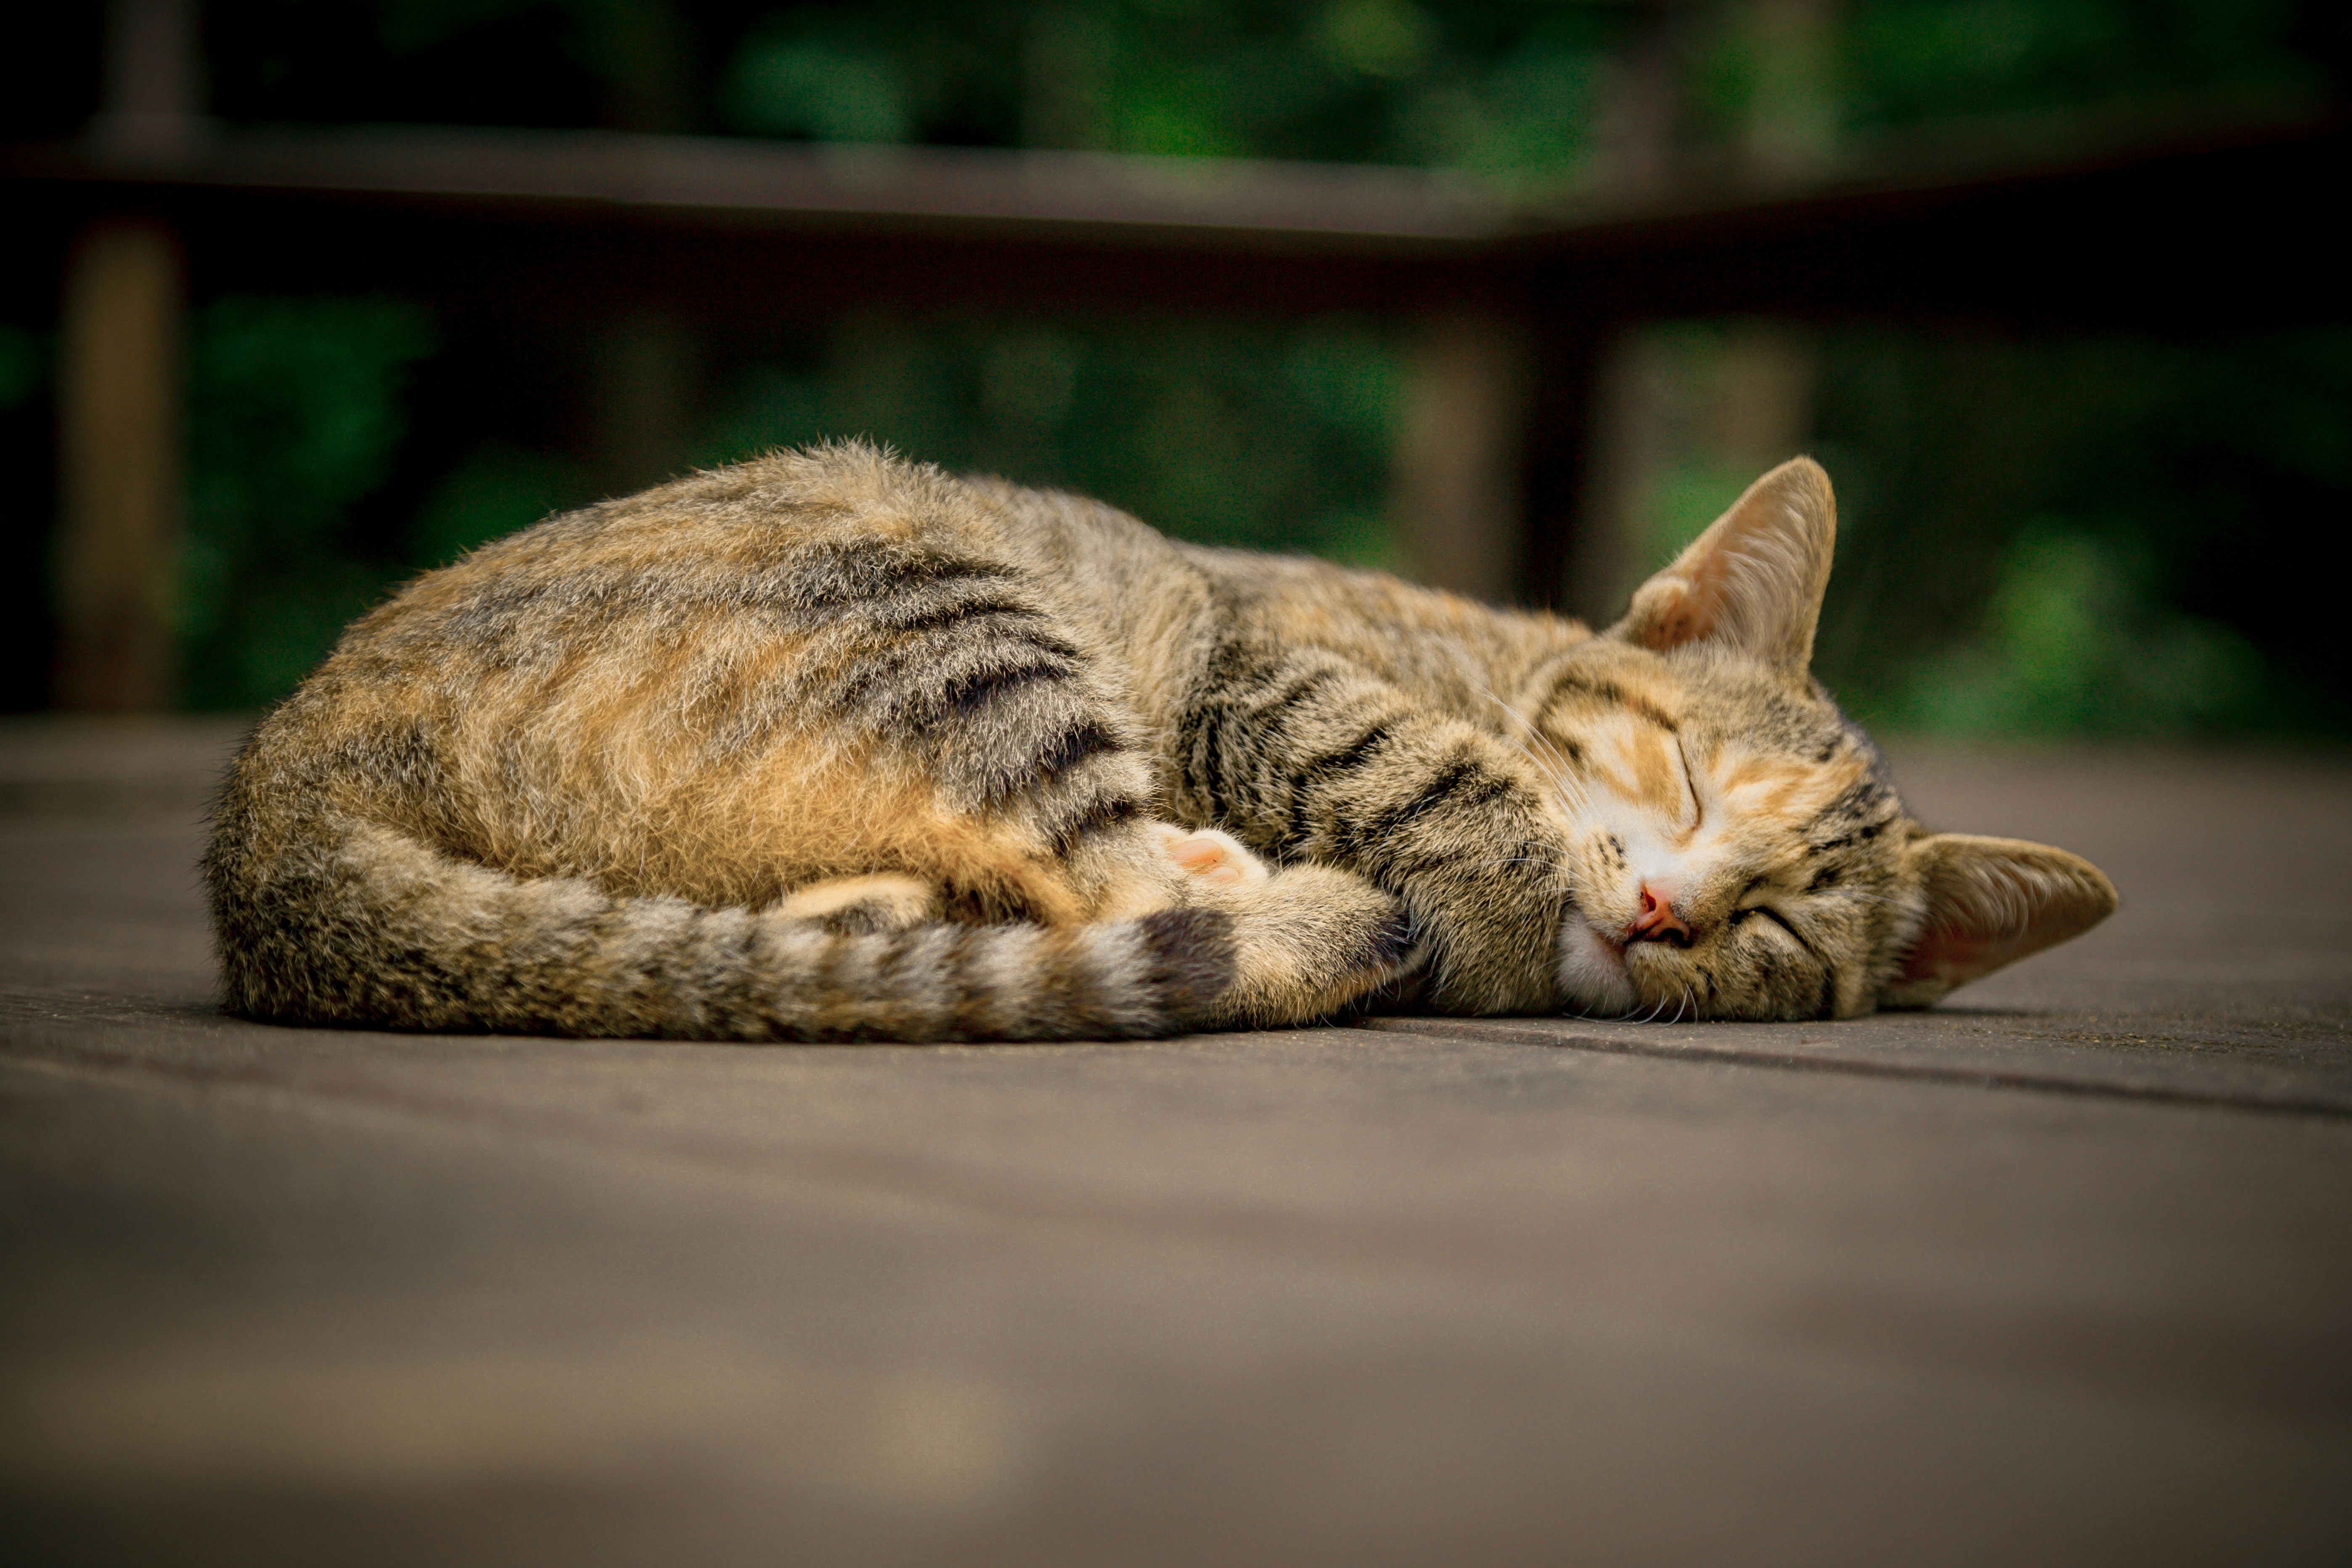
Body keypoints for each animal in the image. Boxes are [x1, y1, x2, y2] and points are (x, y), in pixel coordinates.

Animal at [202, 439, 2117, 1044]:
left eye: (1780, 928)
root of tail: (274, 788)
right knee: (1129, 884)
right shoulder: (1260, 669)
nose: (1665, 911)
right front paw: (1495, 902)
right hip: (937, 605)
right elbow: (1450, 787)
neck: (1487, 653)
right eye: (1690, 780)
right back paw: (1324, 915)